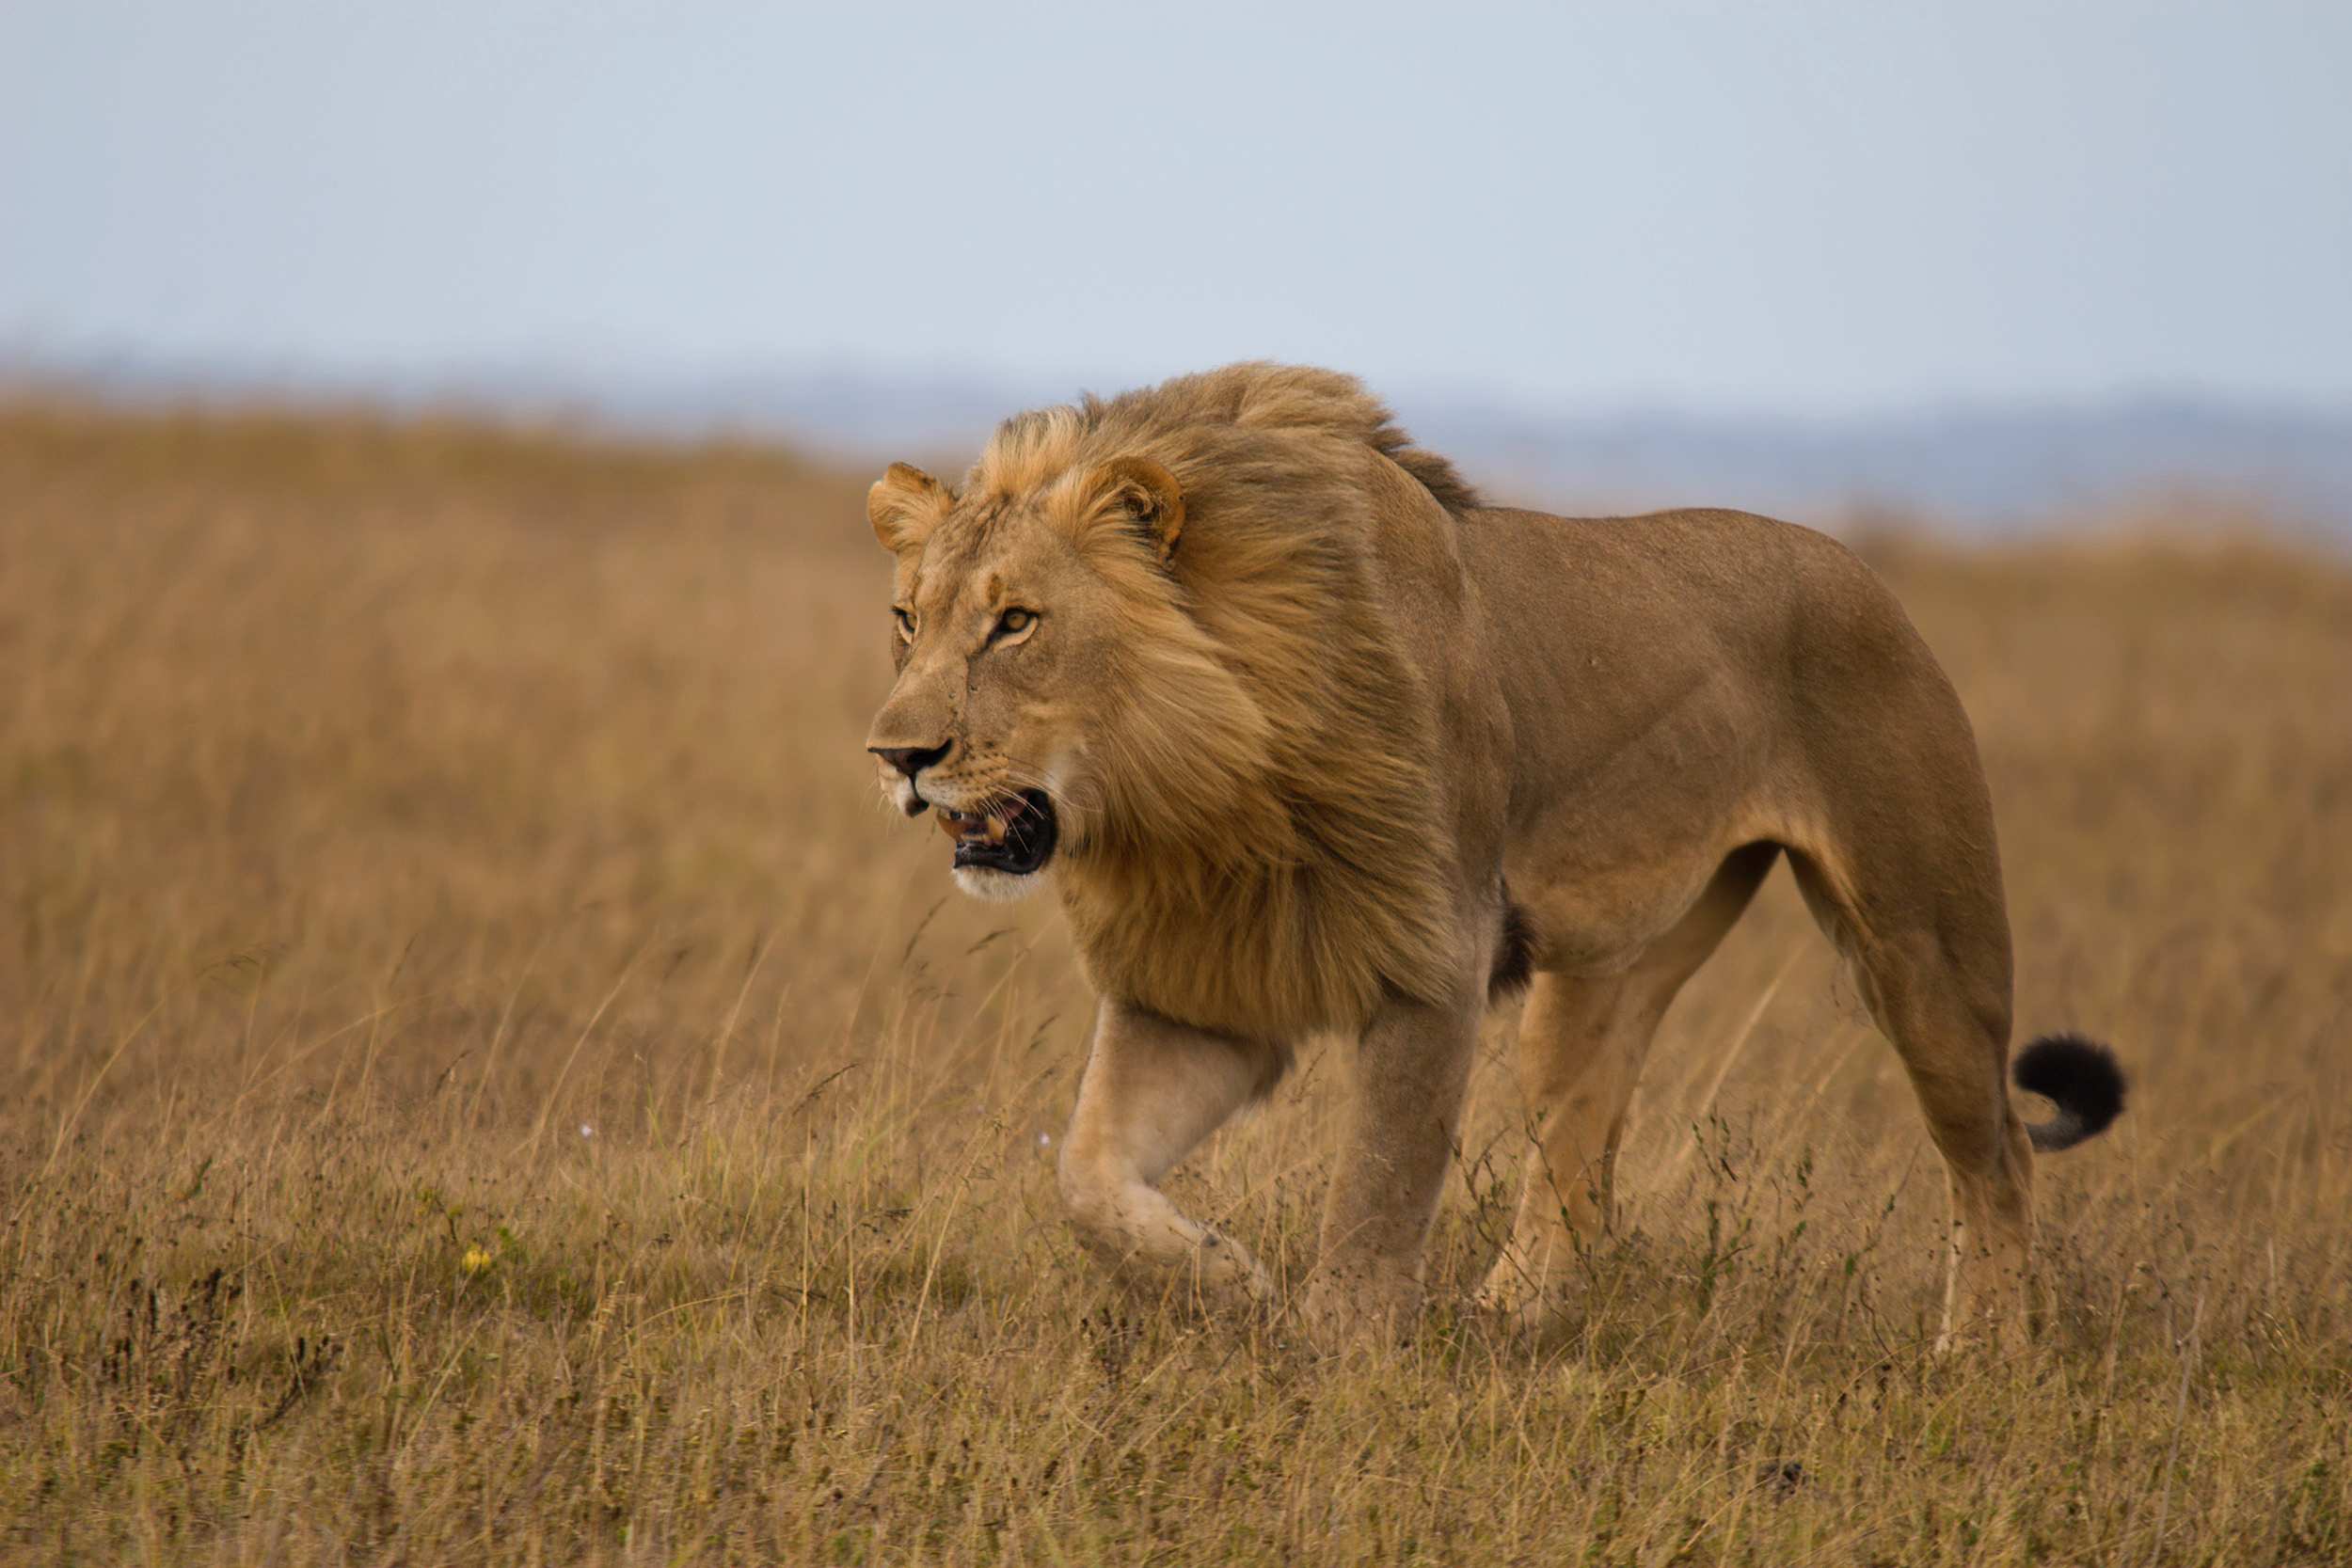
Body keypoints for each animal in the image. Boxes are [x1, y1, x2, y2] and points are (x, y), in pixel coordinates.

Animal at [862, 362, 2125, 1342]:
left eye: (1016, 622)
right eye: (907, 619)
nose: (898, 755)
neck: (1199, 795)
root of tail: (1865, 570)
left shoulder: (1433, 955)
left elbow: (1375, 1195)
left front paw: (1335, 1362)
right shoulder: (1202, 983)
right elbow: (1085, 1175)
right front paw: (1227, 1283)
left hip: (1921, 941)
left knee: (1998, 1151)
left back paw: (1982, 1354)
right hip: (1604, 976)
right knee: (1580, 1154)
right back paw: (1505, 1319)